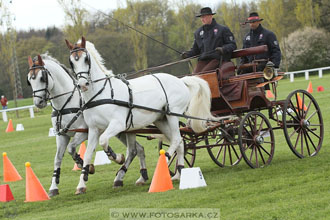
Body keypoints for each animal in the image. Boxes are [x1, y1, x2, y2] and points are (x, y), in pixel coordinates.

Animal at [26, 54, 148, 196]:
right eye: (29, 80)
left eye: (42, 78)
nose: (38, 103)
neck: (66, 104)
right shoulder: (61, 135)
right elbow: (57, 158)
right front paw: (53, 187)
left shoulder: (84, 132)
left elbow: (71, 148)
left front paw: (86, 167)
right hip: (121, 131)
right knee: (138, 149)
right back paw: (140, 176)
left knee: (133, 150)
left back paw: (121, 169)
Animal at [66, 36, 217, 194]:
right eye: (71, 62)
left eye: (86, 59)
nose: (83, 85)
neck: (102, 94)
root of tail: (180, 80)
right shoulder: (94, 129)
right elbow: (88, 154)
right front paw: (81, 184)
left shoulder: (117, 125)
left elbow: (104, 141)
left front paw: (117, 157)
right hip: (161, 120)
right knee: (181, 142)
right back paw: (178, 173)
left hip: (173, 115)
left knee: (176, 140)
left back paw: (165, 160)